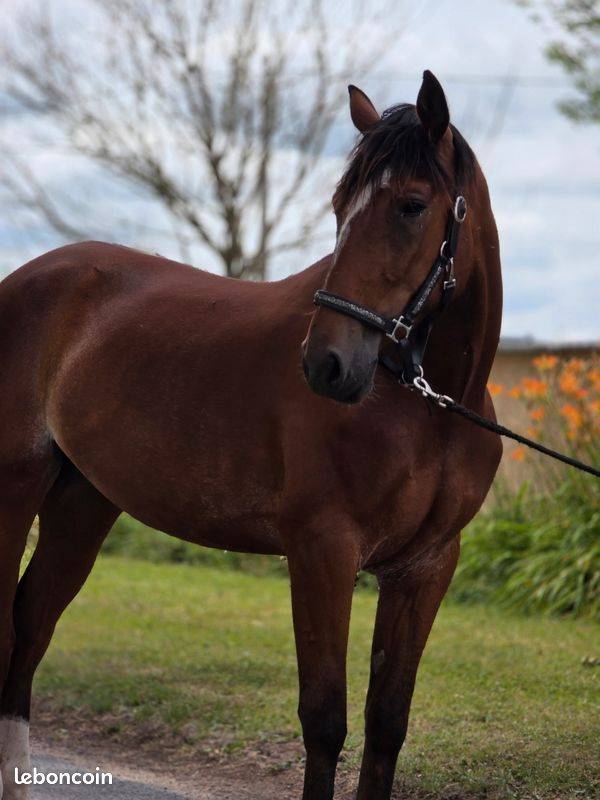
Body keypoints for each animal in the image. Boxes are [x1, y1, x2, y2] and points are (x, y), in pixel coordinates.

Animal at [0, 70, 502, 800]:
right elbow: (325, 721)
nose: (326, 363)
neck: (429, 408)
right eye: (340, 205)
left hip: (82, 501)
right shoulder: (322, 550)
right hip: (14, 490)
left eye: (412, 205)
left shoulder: (425, 568)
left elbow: (386, 725)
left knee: (30, 627)